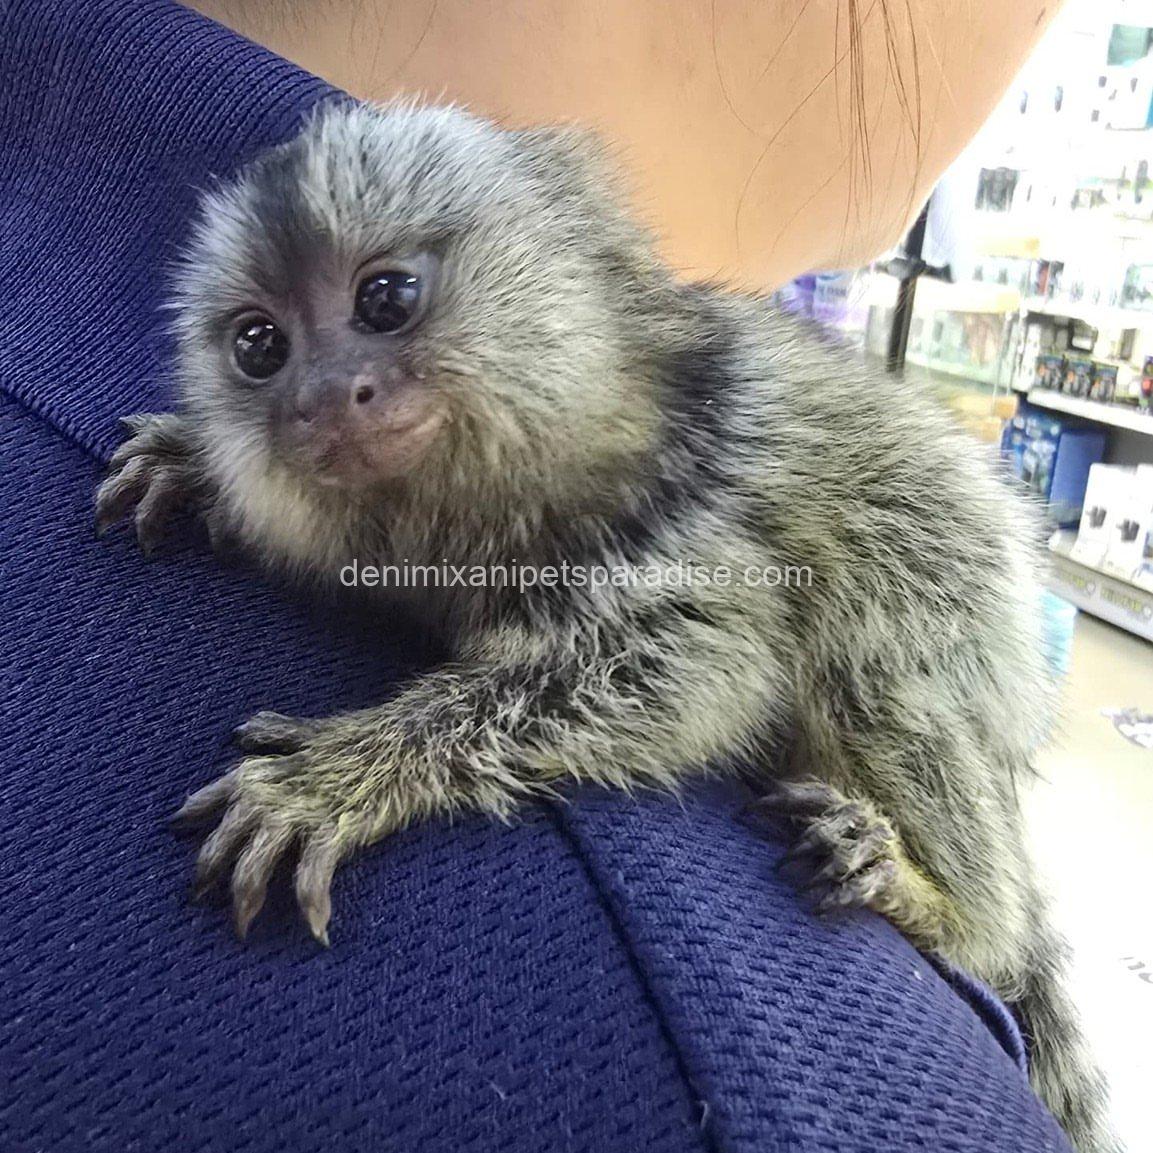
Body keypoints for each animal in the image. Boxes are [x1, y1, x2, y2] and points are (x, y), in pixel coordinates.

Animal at [95, 101, 1119, 1152]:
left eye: (385, 298)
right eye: (259, 347)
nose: (320, 399)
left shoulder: (694, 503)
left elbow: (703, 659)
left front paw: (343, 774)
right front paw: (199, 467)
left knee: (881, 667)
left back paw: (944, 906)